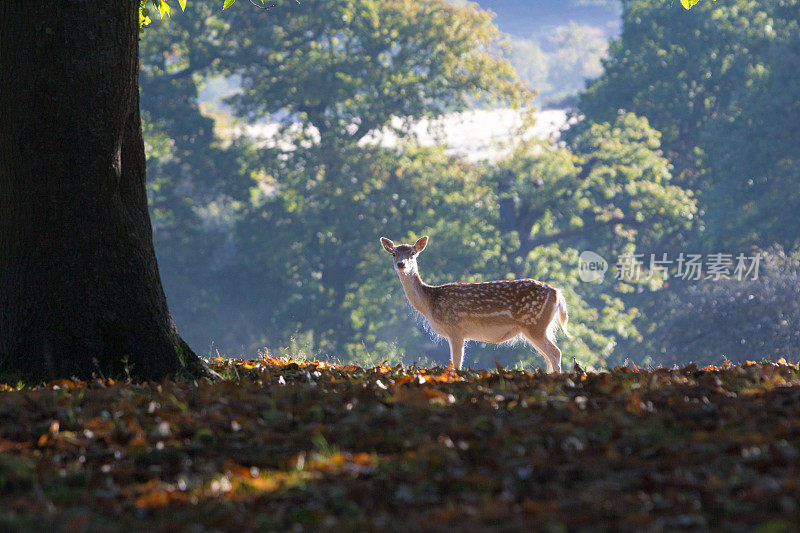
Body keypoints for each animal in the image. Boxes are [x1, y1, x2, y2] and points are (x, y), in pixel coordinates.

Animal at [382, 235, 568, 372]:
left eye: (412, 253)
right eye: (394, 253)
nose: (401, 264)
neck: (429, 303)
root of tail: (557, 293)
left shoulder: (455, 329)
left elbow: (456, 364)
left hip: (534, 324)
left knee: (555, 353)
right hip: (539, 327)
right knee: (549, 356)